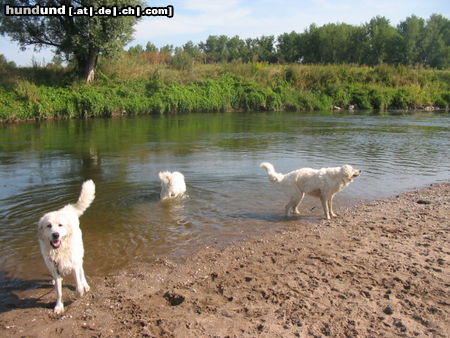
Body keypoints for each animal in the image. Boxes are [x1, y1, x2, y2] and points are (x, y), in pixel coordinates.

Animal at [37, 180, 96, 314]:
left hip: (79, 254)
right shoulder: (55, 267)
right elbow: (58, 291)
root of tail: (67, 209)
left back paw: (85, 285)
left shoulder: (74, 264)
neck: (60, 251)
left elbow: (78, 286)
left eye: (60, 225)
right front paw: (59, 306)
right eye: (48, 225)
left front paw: (80, 291)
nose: (55, 235)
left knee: (82, 271)